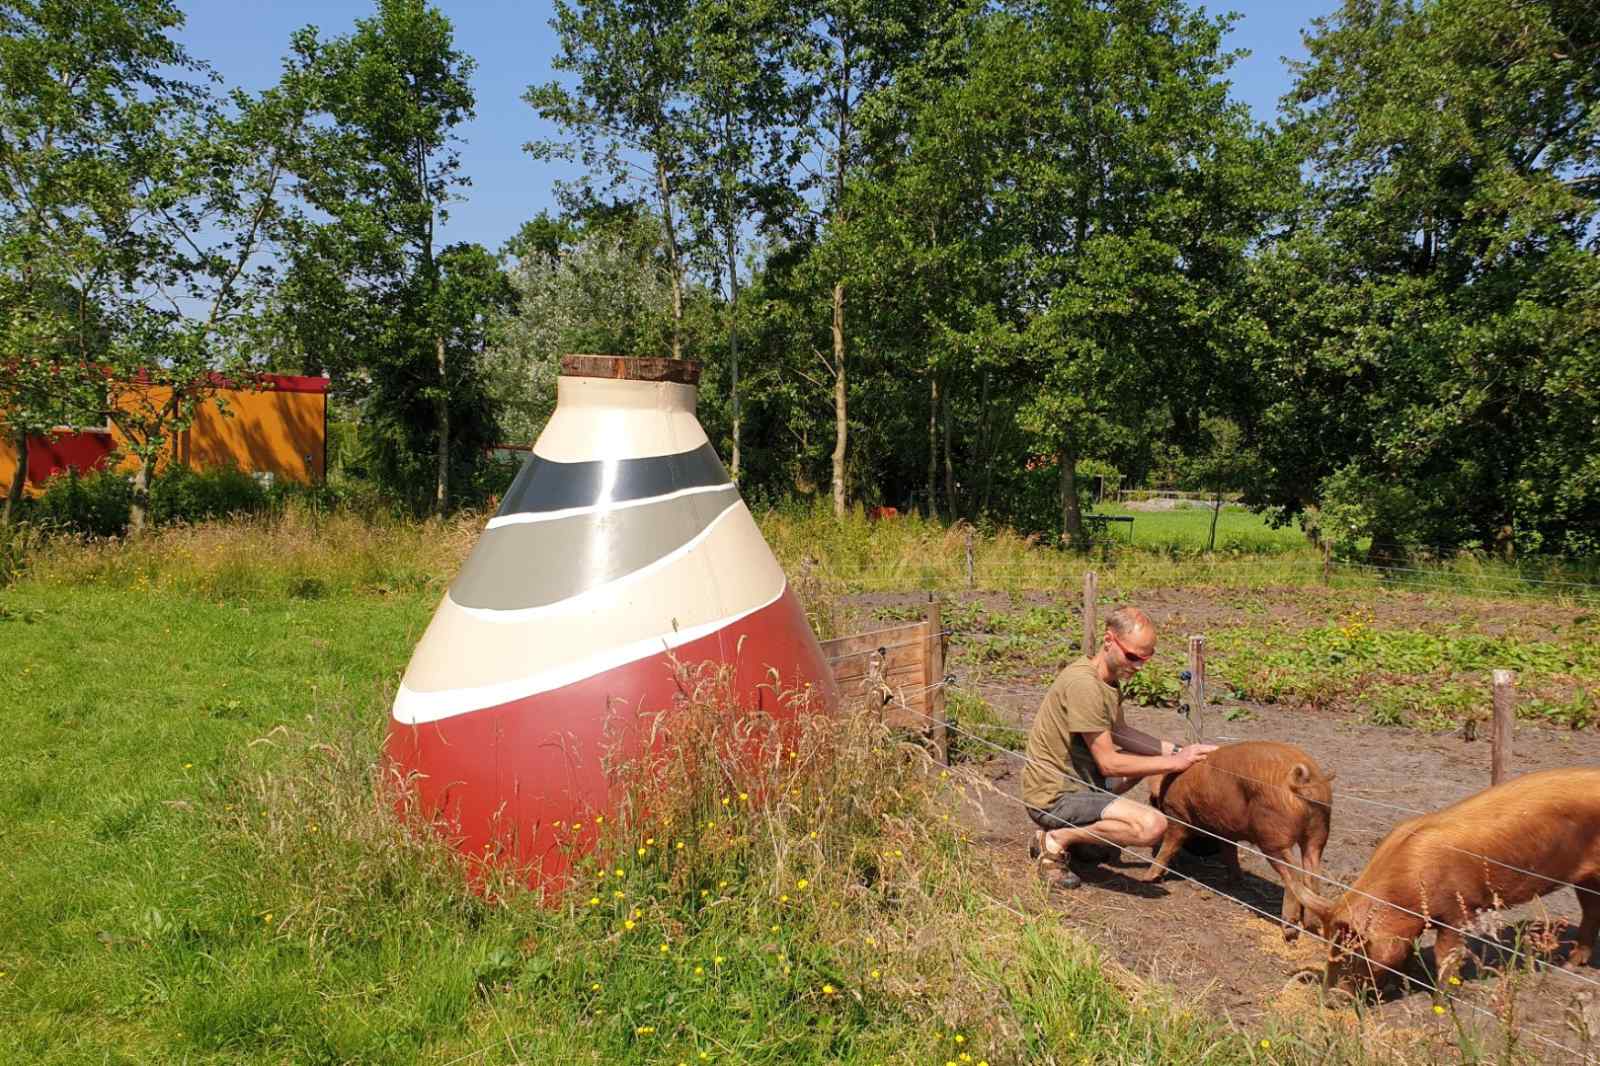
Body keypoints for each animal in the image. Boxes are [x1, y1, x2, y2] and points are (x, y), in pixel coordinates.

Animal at [1145, 739, 1331, 941]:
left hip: (1274, 836)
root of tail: (1305, 777)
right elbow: (1230, 852)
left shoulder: (1177, 815)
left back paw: (1289, 930)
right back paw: (1312, 926)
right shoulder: (1226, 831)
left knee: (1293, 874)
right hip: (1318, 832)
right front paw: (1234, 881)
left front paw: (1148, 878)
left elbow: (1169, 845)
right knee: (1312, 872)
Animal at [1292, 765, 1600, 985]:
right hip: (1586, 880)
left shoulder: (1458, 910)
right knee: (1590, 912)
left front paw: (1443, 998)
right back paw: (1571, 963)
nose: (1331, 1002)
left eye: (1354, 954)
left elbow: (1446, 956)